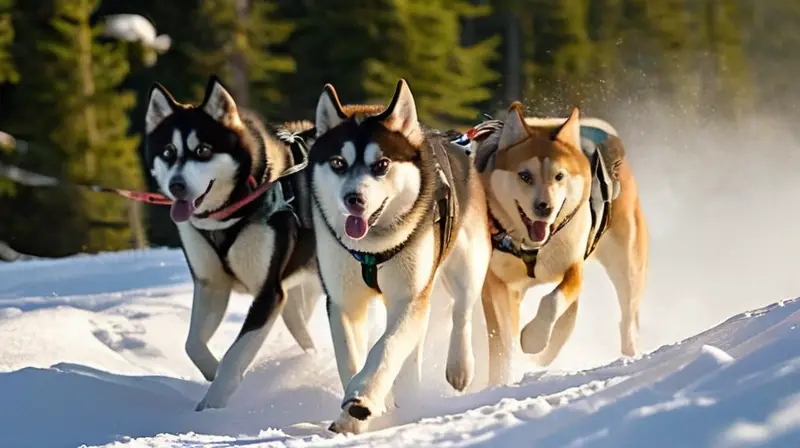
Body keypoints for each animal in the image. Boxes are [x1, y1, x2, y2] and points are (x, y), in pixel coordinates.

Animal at [144, 76, 322, 410]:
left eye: (202, 150)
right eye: (168, 152)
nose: (176, 185)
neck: (227, 215)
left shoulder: (268, 294)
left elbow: (234, 355)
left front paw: (212, 406)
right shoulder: (212, 284)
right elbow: (192, 344)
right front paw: (211, 373)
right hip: (297, 298)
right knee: (304, 332)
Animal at [308, 80, 490, 434]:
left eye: (381, 165)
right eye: (337, 163)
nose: (353, 198)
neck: (372, 250)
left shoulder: (410, 296)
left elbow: (386, 347)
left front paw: (363, 398)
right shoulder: (343, 303)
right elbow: (350, 359)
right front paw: (350, 418)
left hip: (467, 265)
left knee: (461, 311)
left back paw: (459, 367)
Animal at [472, 102, 648, 384]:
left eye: (559, 176)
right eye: (524, 175)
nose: (544, 207)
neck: (533, 248)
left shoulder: (573, 268)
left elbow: (551, 301)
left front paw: (533, 339)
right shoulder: (497, 283)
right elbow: (503, 344)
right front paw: (501, 380)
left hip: (628, 263)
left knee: (627, 319)